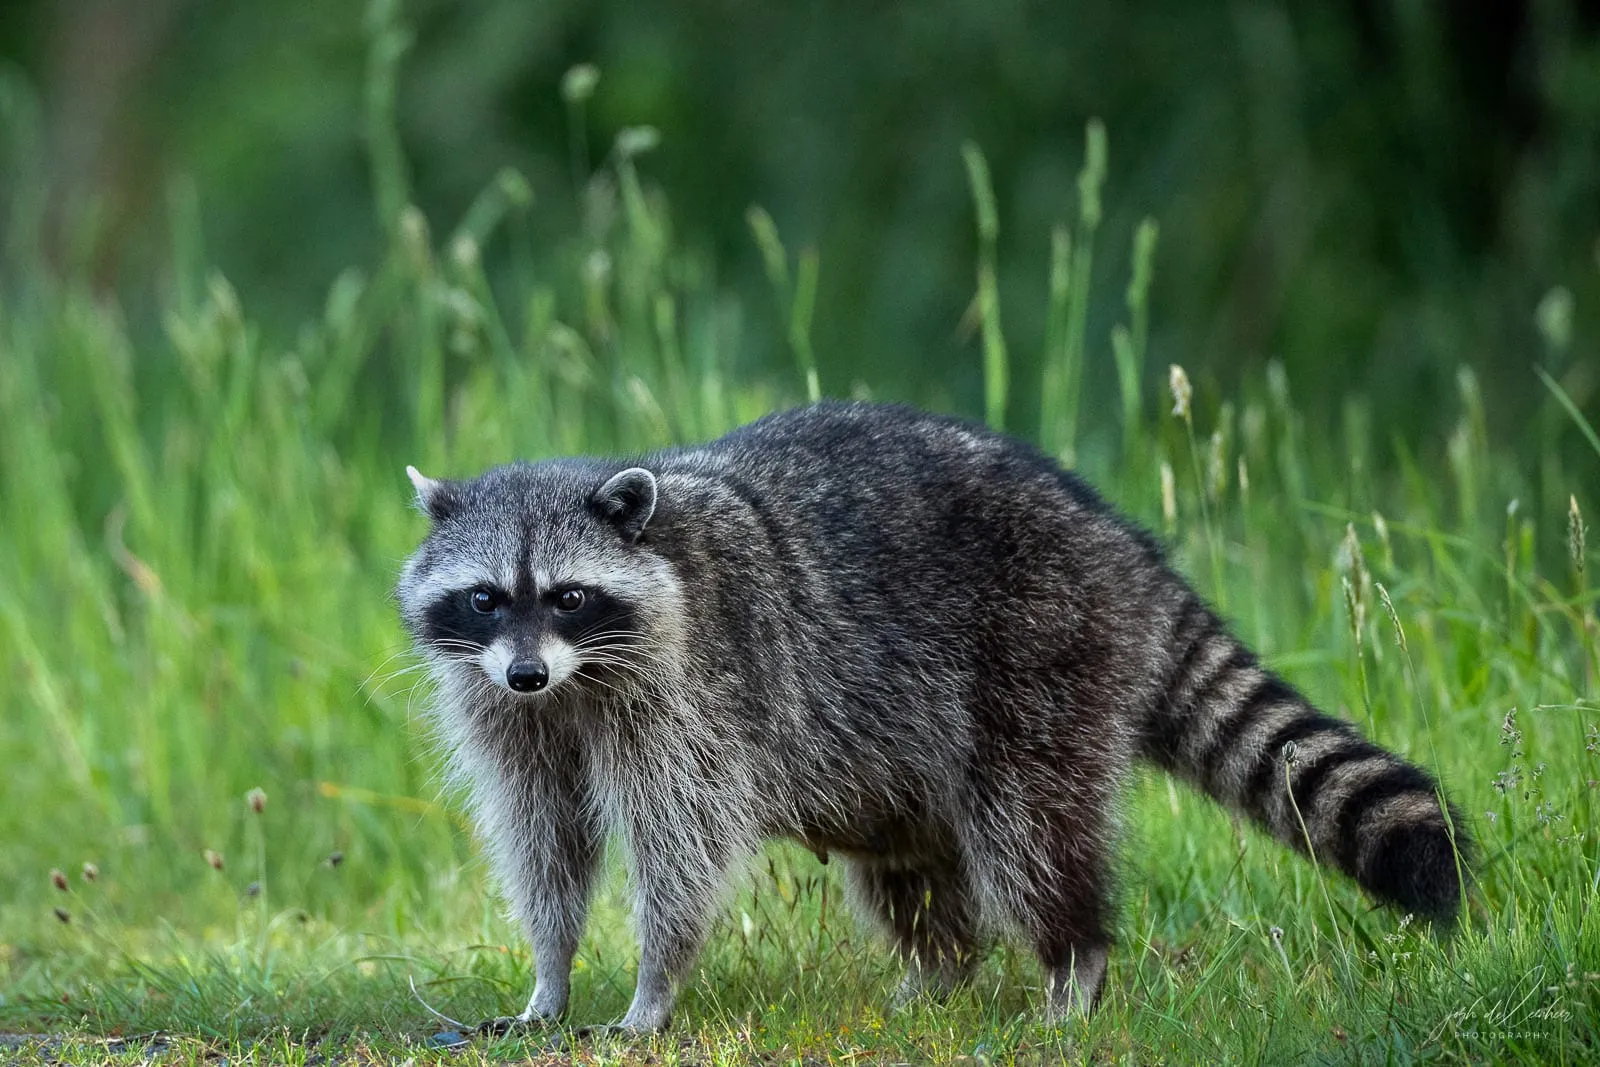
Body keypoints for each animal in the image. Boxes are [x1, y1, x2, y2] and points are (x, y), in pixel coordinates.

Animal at [396, 401, 1467, 1033]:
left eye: (569, 596)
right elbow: (546, 839)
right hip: (898, 738)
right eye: (487, 597)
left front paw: (654, 987)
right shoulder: (509, 713)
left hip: (1041, 652)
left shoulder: (694, 693)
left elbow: (681, 846)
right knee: (907, 855)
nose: (527, 671)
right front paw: (551, 974)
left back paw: (1073, 966)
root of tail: (1121, 544)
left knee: (1033, 830)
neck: (574, 682)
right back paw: (938, 974)